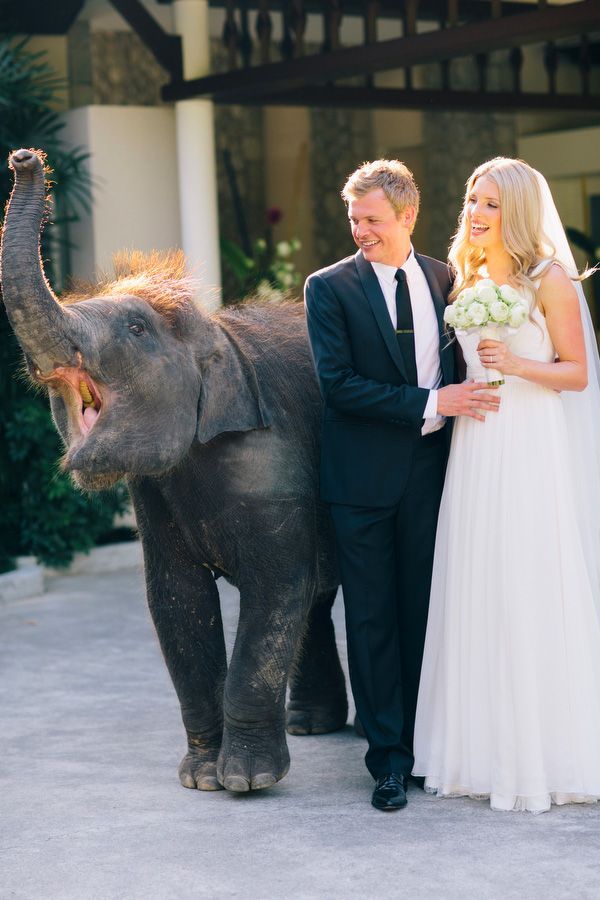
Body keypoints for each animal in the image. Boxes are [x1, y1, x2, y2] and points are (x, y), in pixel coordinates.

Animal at [1, 148, 348, 793]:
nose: (24, 158)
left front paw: (246, 782)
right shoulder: (154, 493)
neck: (219, 336)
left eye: (136, 328)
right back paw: (314, 726)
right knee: (317, 597)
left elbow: (275, 589)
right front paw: (202, 779)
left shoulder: (273, 458)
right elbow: (176, 601)